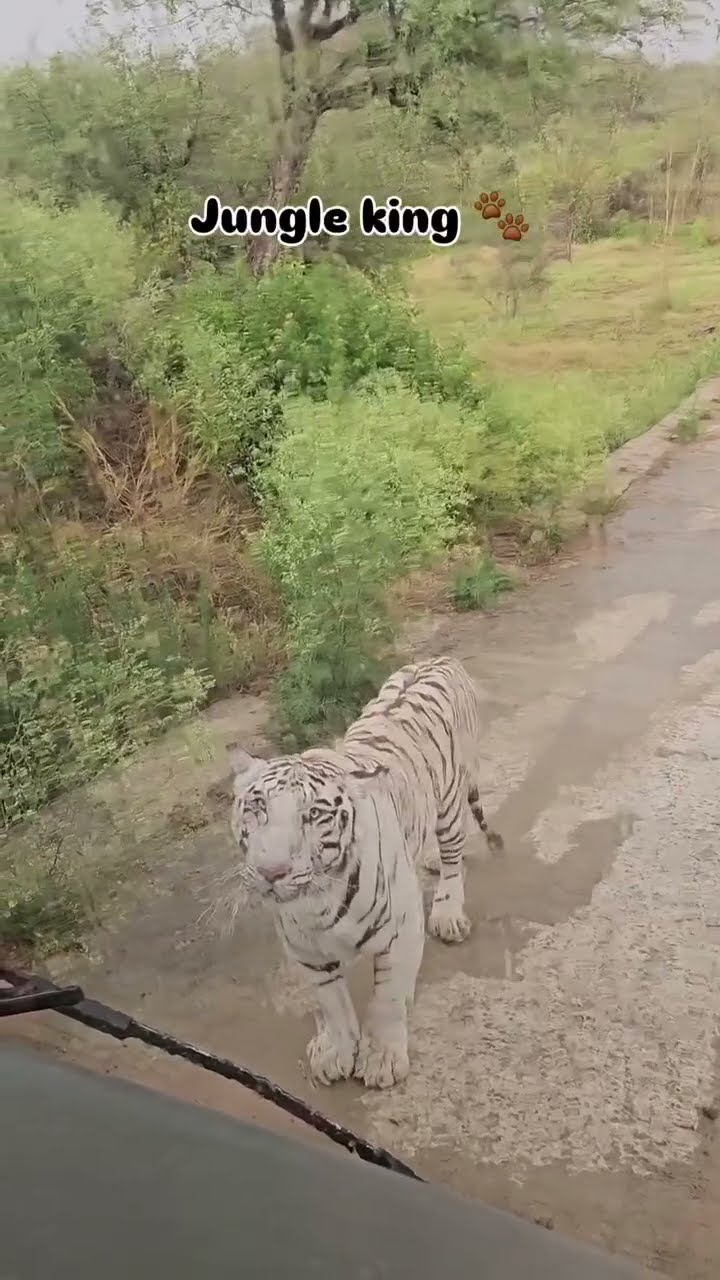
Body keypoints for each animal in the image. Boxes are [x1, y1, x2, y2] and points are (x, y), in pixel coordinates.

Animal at [227, 655, 503, 1091]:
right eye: (257, 807)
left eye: (314, 815)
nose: (272, 871)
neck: (316, 902)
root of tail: (441, 659)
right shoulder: (305, 950)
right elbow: (331, 1003)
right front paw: (337, 1052)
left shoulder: (402, 928)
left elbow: (387, 1000)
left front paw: (384, 1059)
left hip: (449, 801)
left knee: (454, 857)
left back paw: (448, 911)